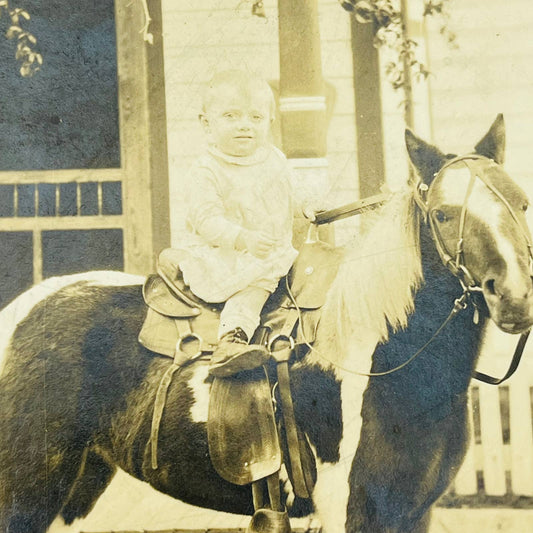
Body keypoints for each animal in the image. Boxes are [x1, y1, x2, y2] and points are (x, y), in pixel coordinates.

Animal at [1, 116, 532, 532]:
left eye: (521, 202)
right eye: (442, 214)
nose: (515, 297)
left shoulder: (412, 512)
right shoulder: (354, 509)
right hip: (25, 493)